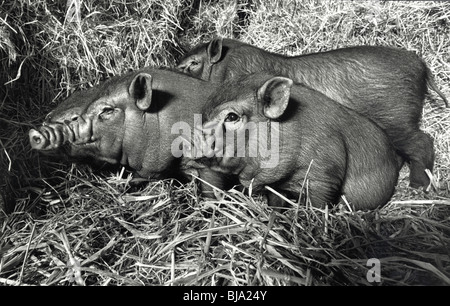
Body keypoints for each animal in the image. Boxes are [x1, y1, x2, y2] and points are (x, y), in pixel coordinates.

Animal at [192, 73, 402, 209]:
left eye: (232, 117)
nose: (193, 139)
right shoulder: (277, 186)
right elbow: (275, 203)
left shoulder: (326, 174)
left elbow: (319, 204)